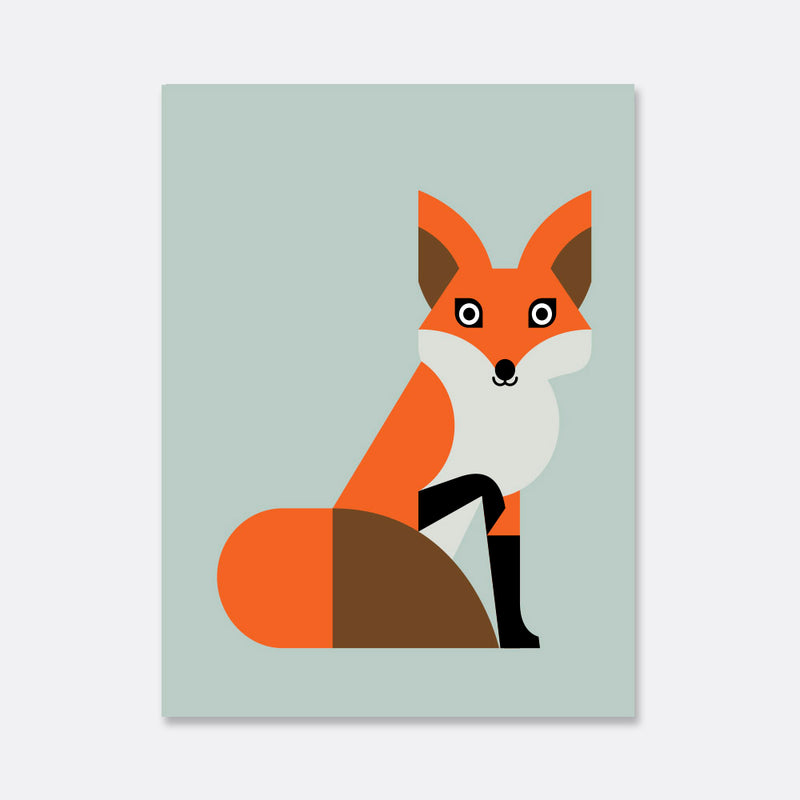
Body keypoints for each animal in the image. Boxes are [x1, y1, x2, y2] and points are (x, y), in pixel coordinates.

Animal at [217, 190, 592, 649]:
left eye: (542, 314)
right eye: (468, 314)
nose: (504, 368)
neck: (500, 417)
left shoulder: (515, 500)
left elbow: (508, 573)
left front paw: (517, 637)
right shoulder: (409, 492)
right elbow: (481, 483)